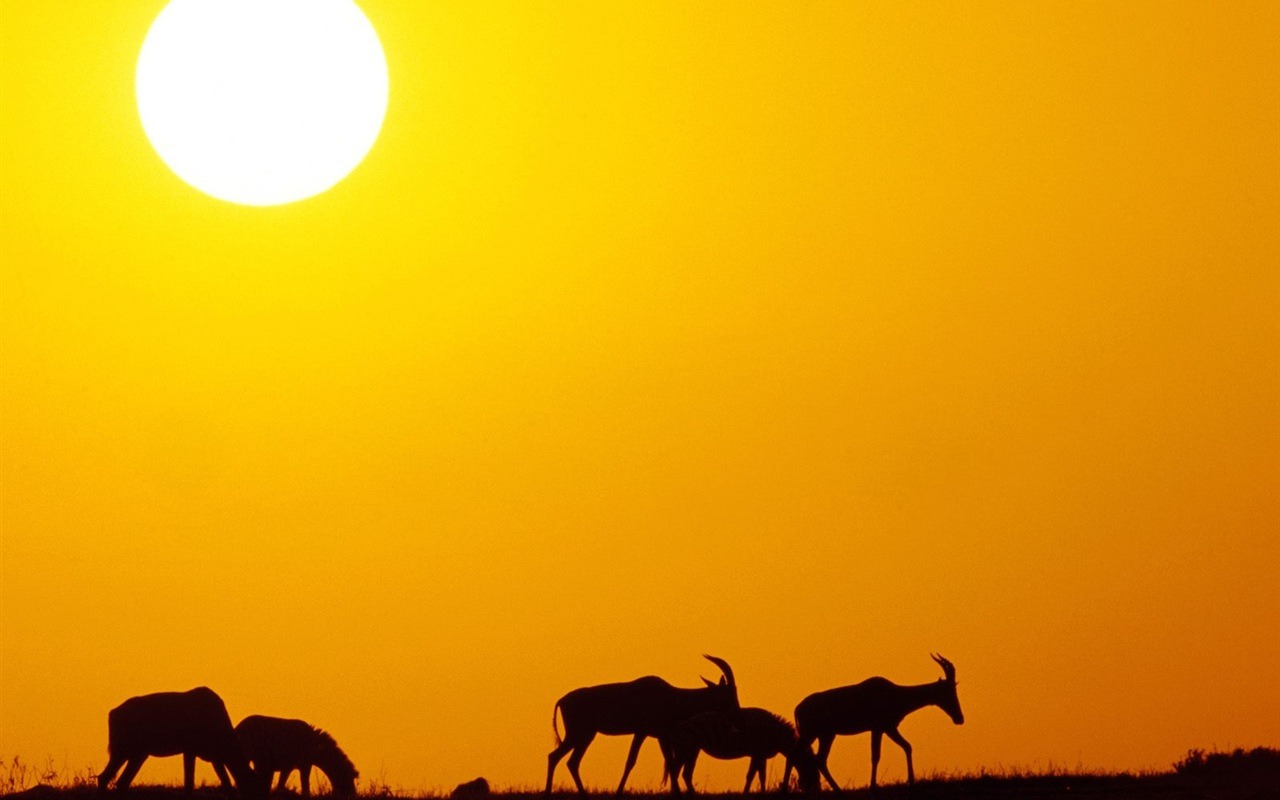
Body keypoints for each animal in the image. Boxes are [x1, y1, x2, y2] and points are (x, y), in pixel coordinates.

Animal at [97, 680, 264, 793]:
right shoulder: (190, 749)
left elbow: (227, 783)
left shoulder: (215, 757)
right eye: (254, 788)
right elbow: (189, 784)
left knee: (119, 781)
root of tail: (112, 713)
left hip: (139, 753)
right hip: (123, 749)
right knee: (105, 777)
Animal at [542, 655, 742, 793]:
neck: (672, 695)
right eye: (728, 694)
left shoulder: (651, 735)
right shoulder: (650, 733)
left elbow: (652, 762)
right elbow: (644, 761)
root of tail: (562, 700)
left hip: (585, 736)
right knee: (557, 757)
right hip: (579, 735)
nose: (737, 719)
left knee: (569, 761)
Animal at [660, 706, 819, 793]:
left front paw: (757, 792)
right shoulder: (758, 753)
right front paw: (753, 792)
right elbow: (754, 775)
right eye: (813, 770)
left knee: (681, 772)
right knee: (680, 772)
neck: (775, 732)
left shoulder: (759, 755)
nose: (816, 789)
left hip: (690, 751)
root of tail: (673, 733)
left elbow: (757, 775)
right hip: (687, 750)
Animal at [783, 652, 962, 788]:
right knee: (799, 755)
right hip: (813, 734)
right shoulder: (880, 728)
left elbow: (907, 746)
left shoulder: (888, 728)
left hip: (825, 735)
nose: (959, 718)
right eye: (948, 690)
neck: (895, 692)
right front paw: (873, 785)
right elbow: (876, 756)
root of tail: (797, 709)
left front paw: (911, 780)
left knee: (816, 759)